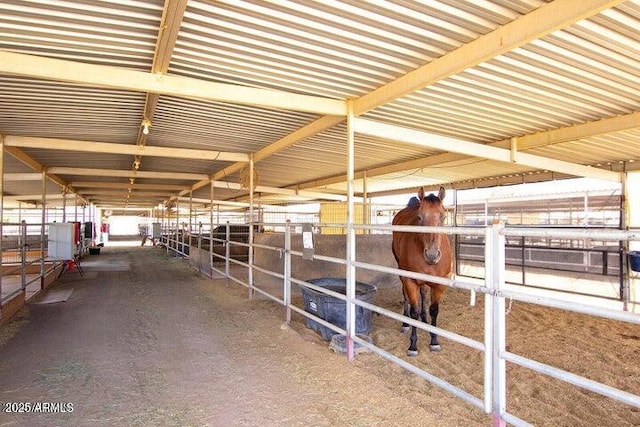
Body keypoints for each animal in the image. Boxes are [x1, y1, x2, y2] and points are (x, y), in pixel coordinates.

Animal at [392, 187, 452, 358]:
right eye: (419, 217)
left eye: (443, 216)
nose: (432, 255)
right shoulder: (410, 281)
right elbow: (414, 310)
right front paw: (413, 345)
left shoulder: (439, 284)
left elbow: (434, 310)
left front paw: (434, 340)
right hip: (401, 272)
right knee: (406, 296)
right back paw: (405, 323)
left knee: (424, 294)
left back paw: (424, 320)